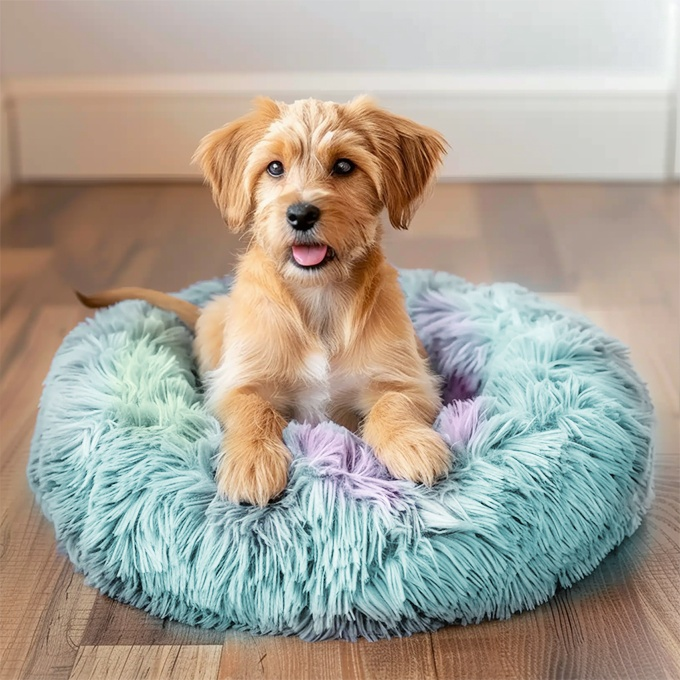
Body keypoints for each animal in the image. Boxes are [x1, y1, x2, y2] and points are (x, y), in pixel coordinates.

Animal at [78, 98, 452, 508]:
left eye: (344, 166)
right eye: (274, 167)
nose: (301, 214)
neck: (317, 296)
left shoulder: (408, 380)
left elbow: (393, 405)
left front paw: (412, 444)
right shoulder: (238, 383)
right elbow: (253, 411)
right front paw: (252, 462)